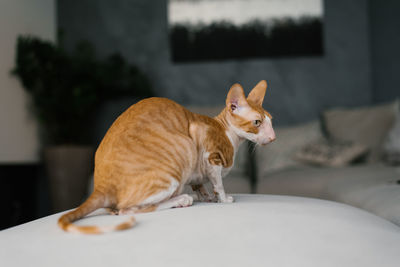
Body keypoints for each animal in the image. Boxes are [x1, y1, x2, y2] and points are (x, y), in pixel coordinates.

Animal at [58, 81, 276, 234]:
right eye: (257, 123)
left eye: (271, 122)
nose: (273, 137)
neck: (230, 135)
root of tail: (100, 186)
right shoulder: (206, 149)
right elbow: (218, 183)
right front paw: (222, 199)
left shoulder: (199, 167)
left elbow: (200, 184)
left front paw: (207, 198)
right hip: (183, 149)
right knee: (126, 210)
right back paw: (181, 199)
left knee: (118, 210)